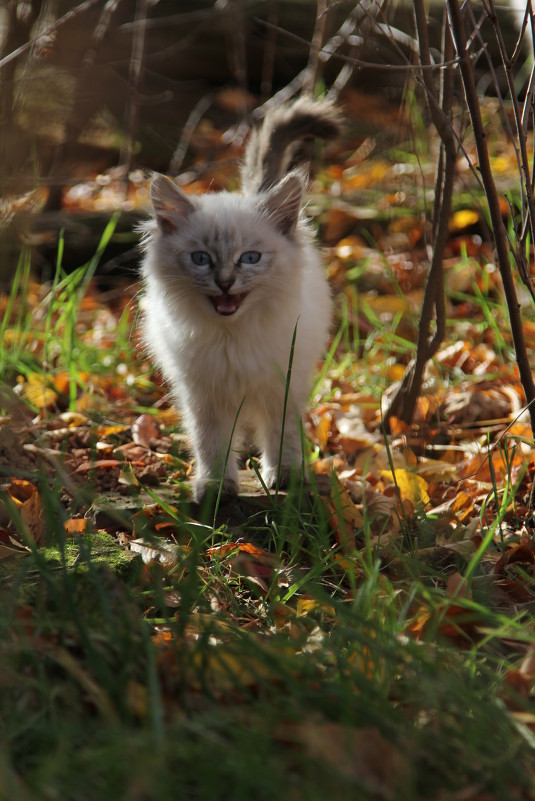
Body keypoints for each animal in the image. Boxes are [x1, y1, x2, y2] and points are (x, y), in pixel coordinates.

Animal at [138, 98, 340, 500]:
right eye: (201, 258)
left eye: (250, 258)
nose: (226, 283)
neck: (233, 334)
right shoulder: (204, 395)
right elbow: (211, 443)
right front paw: (216, 486)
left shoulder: (281, 384)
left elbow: (282, 435)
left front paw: (285, 476)